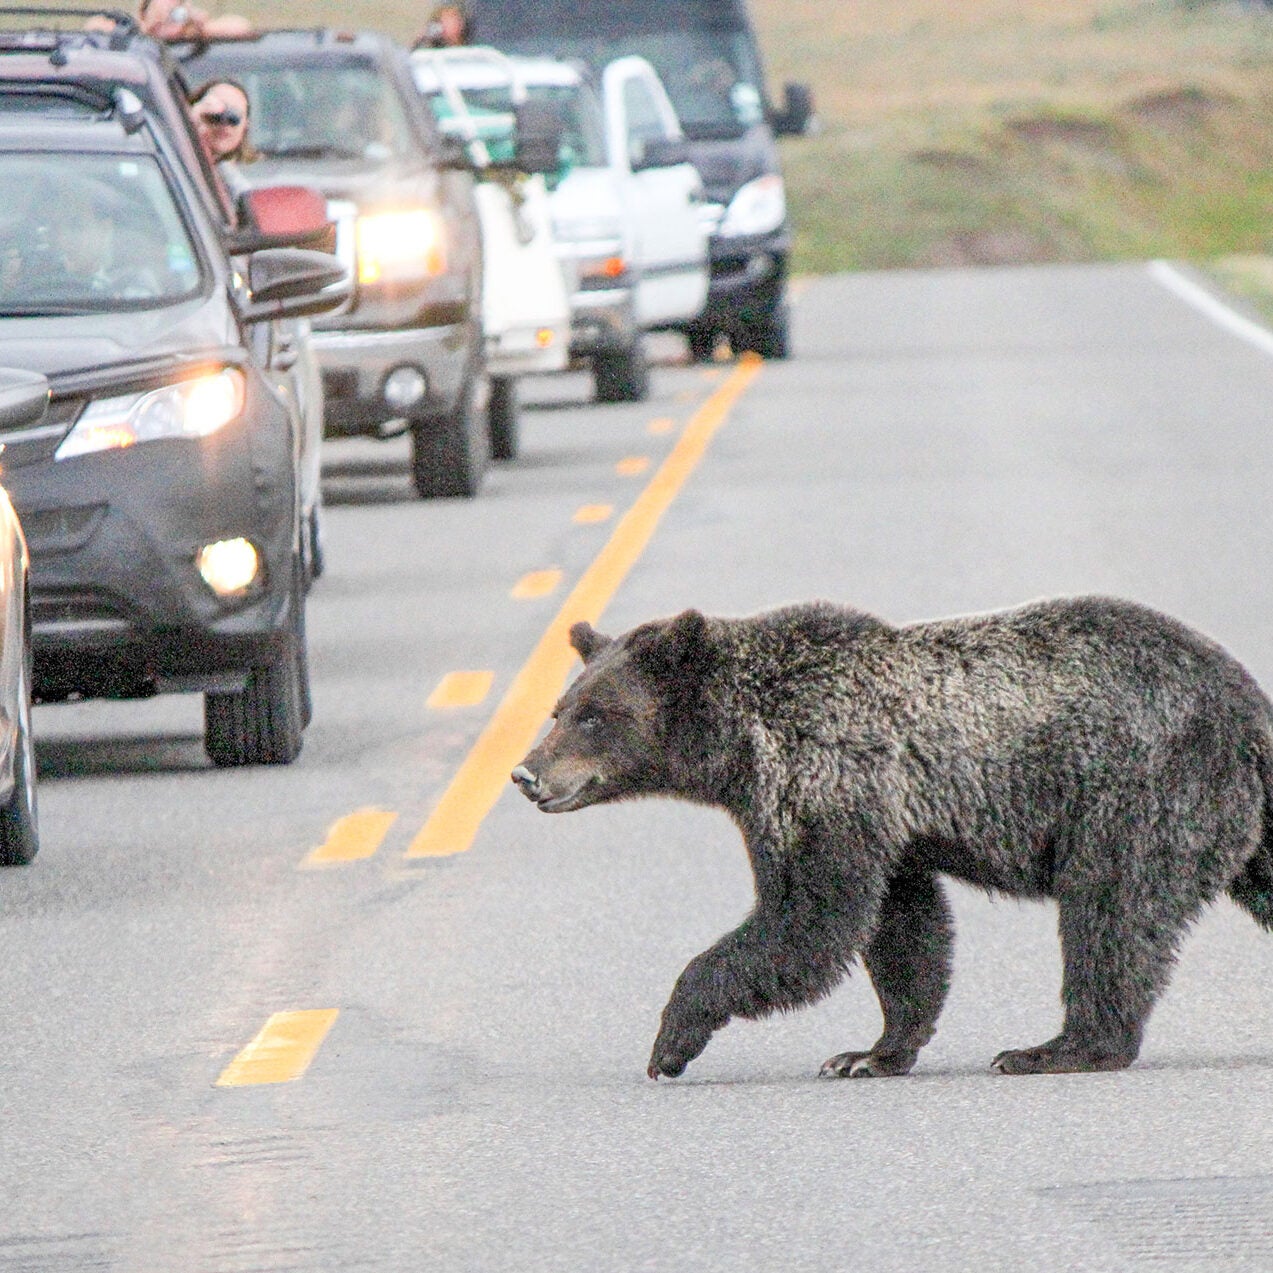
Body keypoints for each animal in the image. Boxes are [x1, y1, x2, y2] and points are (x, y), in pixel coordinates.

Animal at [511, 600, 1273, 1079]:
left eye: (592, 715)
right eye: (559, 708)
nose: (525, 773)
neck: (737, 746)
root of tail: (1246, 701)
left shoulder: (820, 779)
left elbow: (807, 920)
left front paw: (670, 1042)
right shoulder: (887, 826)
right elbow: (901, 928)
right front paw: (869, 1053)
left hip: (1137, 789)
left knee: (1110, 911)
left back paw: (1056, 1046)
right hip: (1248, 817)